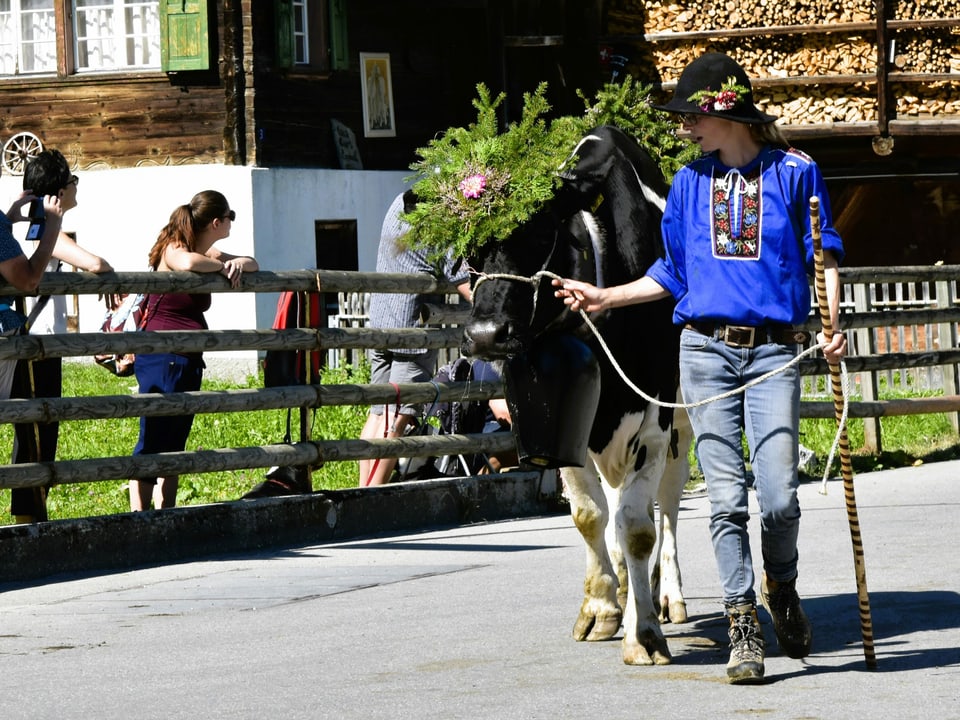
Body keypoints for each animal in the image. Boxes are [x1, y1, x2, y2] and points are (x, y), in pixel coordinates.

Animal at [464, 125, 688, 668]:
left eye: (539, 233)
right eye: (469, 251)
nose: (485, 335)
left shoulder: (654, 425)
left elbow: (638, 527)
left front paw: (643, 634)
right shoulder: (564, 430)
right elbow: (590, 516)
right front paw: (602, 607)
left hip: (686, 422)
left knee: (669, 504)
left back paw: (668, 595)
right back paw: (627, 588)